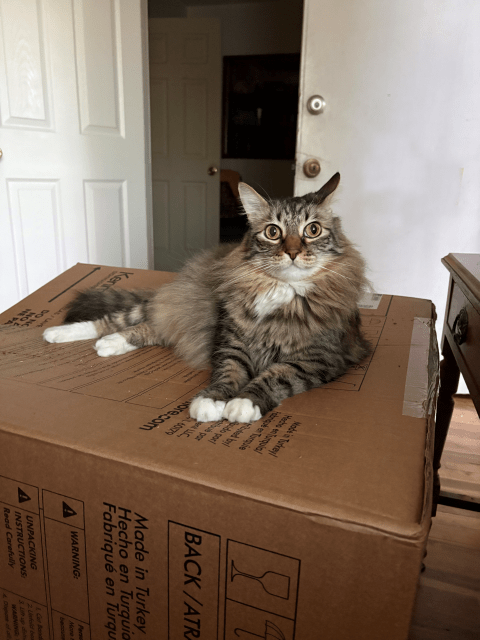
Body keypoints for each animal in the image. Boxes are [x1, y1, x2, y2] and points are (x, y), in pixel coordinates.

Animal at [43, 172, 370, 424]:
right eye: (273, 232)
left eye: (312, 230)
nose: (291, 252)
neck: (281, 292)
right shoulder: (231, 342)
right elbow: (227, 374)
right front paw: (212, 401)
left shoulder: (317, 358)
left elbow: (275, 375)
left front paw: (244, 403)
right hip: (191, 306)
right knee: (123, 319)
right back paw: (63, 334)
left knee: (153, 328)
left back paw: (108, 344)